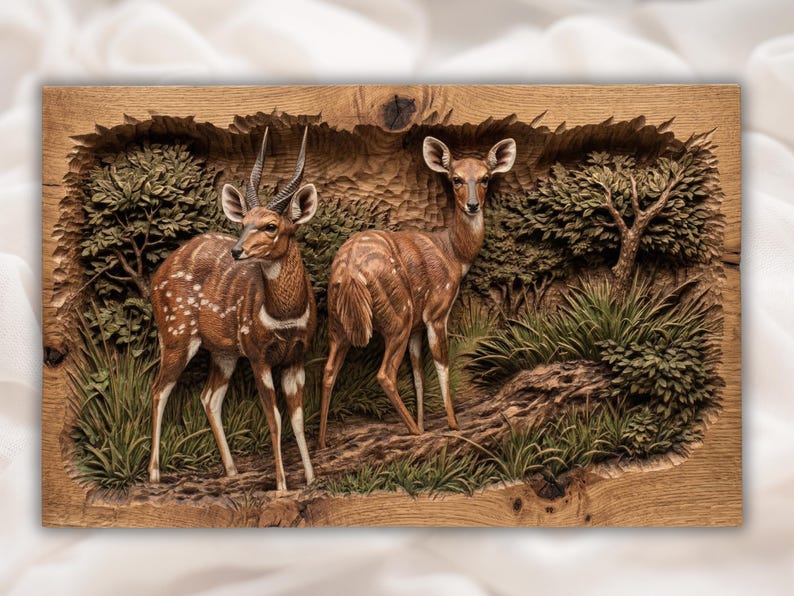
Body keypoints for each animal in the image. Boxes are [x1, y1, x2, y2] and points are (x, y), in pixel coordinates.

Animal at [148, 127, 317, 491]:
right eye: (244, 223)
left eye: (271, 226)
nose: (237, 251)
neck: (284, 315)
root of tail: (156, 277)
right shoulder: (257, 354)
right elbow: (274, 417)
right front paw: (282, 485)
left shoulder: (296, 356)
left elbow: (297, 417)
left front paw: (311, 478)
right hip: (176, 335)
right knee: (159, 389)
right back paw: (154, 473)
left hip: (223, 352)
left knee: (209, 397)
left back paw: (232, 469)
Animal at [318, 136, 517, 448]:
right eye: (456, 179)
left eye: (485, 178)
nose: (473, 205)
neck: (454, 254)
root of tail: (350, 271)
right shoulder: (436, 311)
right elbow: (441, 362)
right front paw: (452, 423)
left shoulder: (415, 327)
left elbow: (417, 372)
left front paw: (426, 421)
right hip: (397, 315)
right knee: (385, 374)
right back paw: (413, 431)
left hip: (338, 322)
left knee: (328, 372)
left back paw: (322, 443)